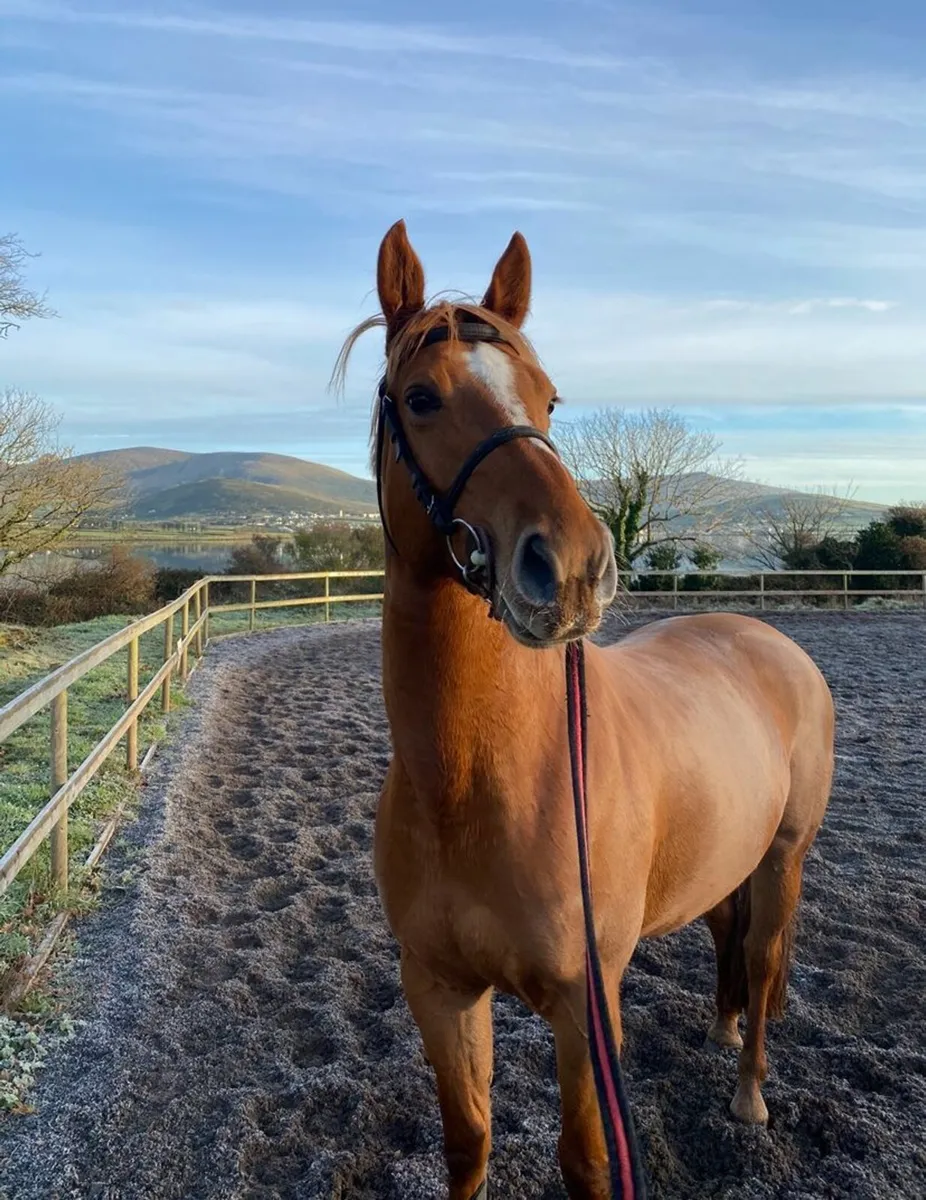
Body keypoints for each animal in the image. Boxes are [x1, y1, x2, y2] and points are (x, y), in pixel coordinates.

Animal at [333, 220, 835, 1199]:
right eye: (421, 397)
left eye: (549, 399)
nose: (570, 566)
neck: (481, 784)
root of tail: (767, 639)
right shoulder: (438, 991)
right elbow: (469, 1144)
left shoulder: (582, 1007)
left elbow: (589, 1163)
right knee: (726, 932)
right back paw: (719, 1026)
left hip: (783, 860)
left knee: (762, 965)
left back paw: (749, 1091)